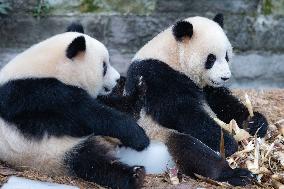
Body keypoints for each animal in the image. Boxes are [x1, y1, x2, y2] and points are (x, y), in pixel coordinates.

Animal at [0, 23, 151, 189]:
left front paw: (138, 91)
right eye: (104, 67)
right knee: (90, 163)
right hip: (46, 151)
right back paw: (134, 176)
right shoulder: (35, 94)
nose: (118, 79)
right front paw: (138, 136)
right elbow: (86, 115)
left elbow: (107, 105)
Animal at [116, 14, 268, 185]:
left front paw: (254, 122)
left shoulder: (206, 87)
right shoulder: (155, 76)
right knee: (192, 150)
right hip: (159, 133)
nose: (225, 77)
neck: (172, 56)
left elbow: (222, 102)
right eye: (211, 59)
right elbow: (181, 112)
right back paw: (236, 175)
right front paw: (228, 142)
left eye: (227, 56)